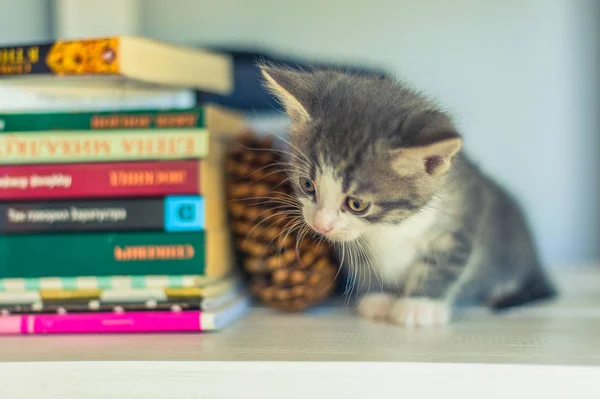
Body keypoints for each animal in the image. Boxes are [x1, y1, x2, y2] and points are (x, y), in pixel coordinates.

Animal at [260, 64, 556, 326]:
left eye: (357, 204)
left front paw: (420, 305)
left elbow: (445, 263)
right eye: (307, 185)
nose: (320, 225)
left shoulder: (463, 215)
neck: (392, 226)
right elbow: (364, 264)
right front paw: (378, 297)